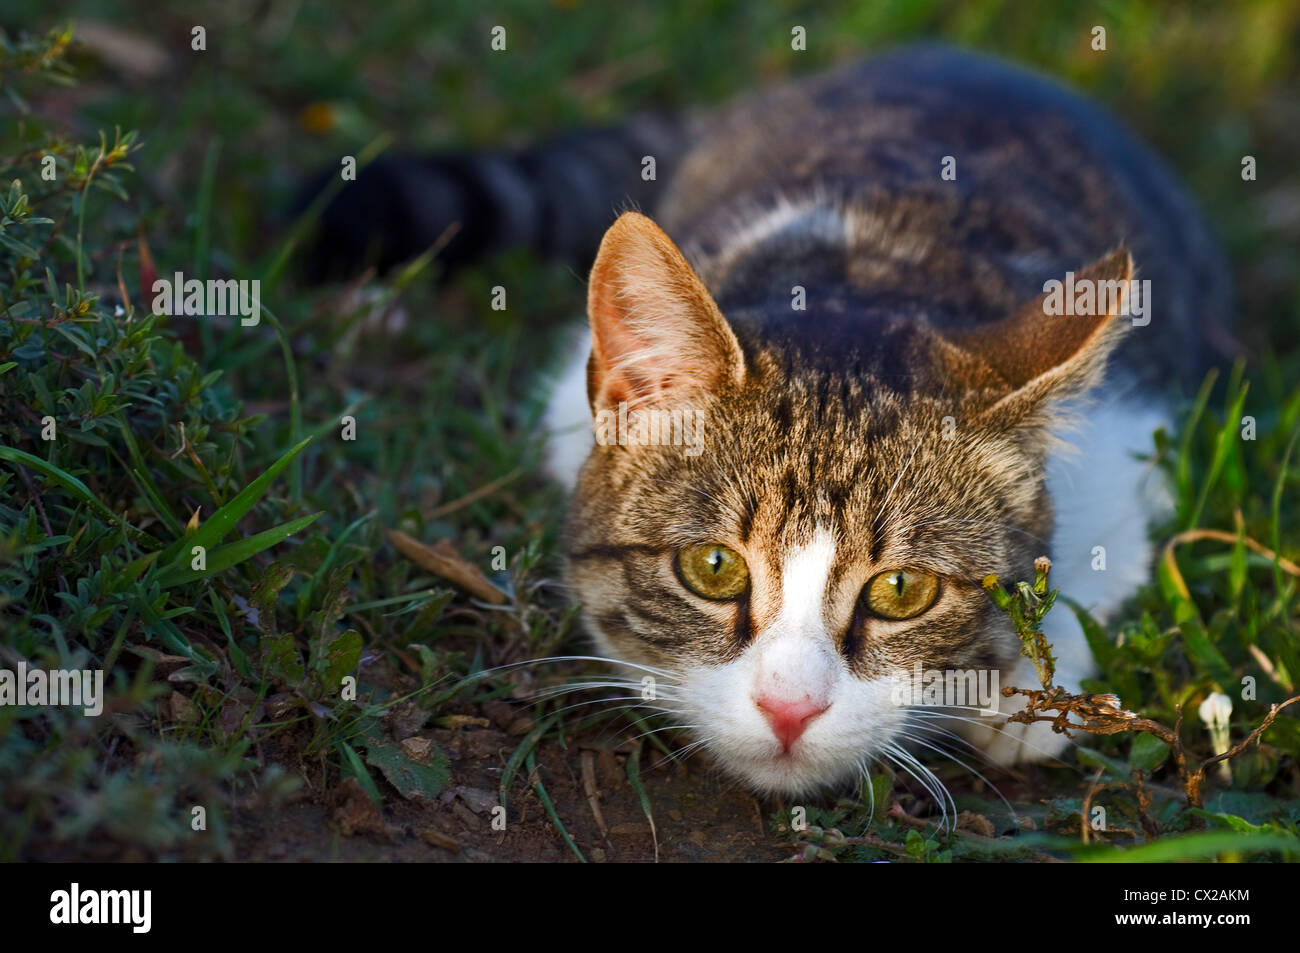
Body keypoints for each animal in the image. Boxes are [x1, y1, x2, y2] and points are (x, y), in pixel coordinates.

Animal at [306, 44, 1237, 795]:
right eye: (713, 568)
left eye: (903, 590)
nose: (790, 708)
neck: (873, 278)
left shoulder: (1135, 445)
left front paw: (1029, 695)